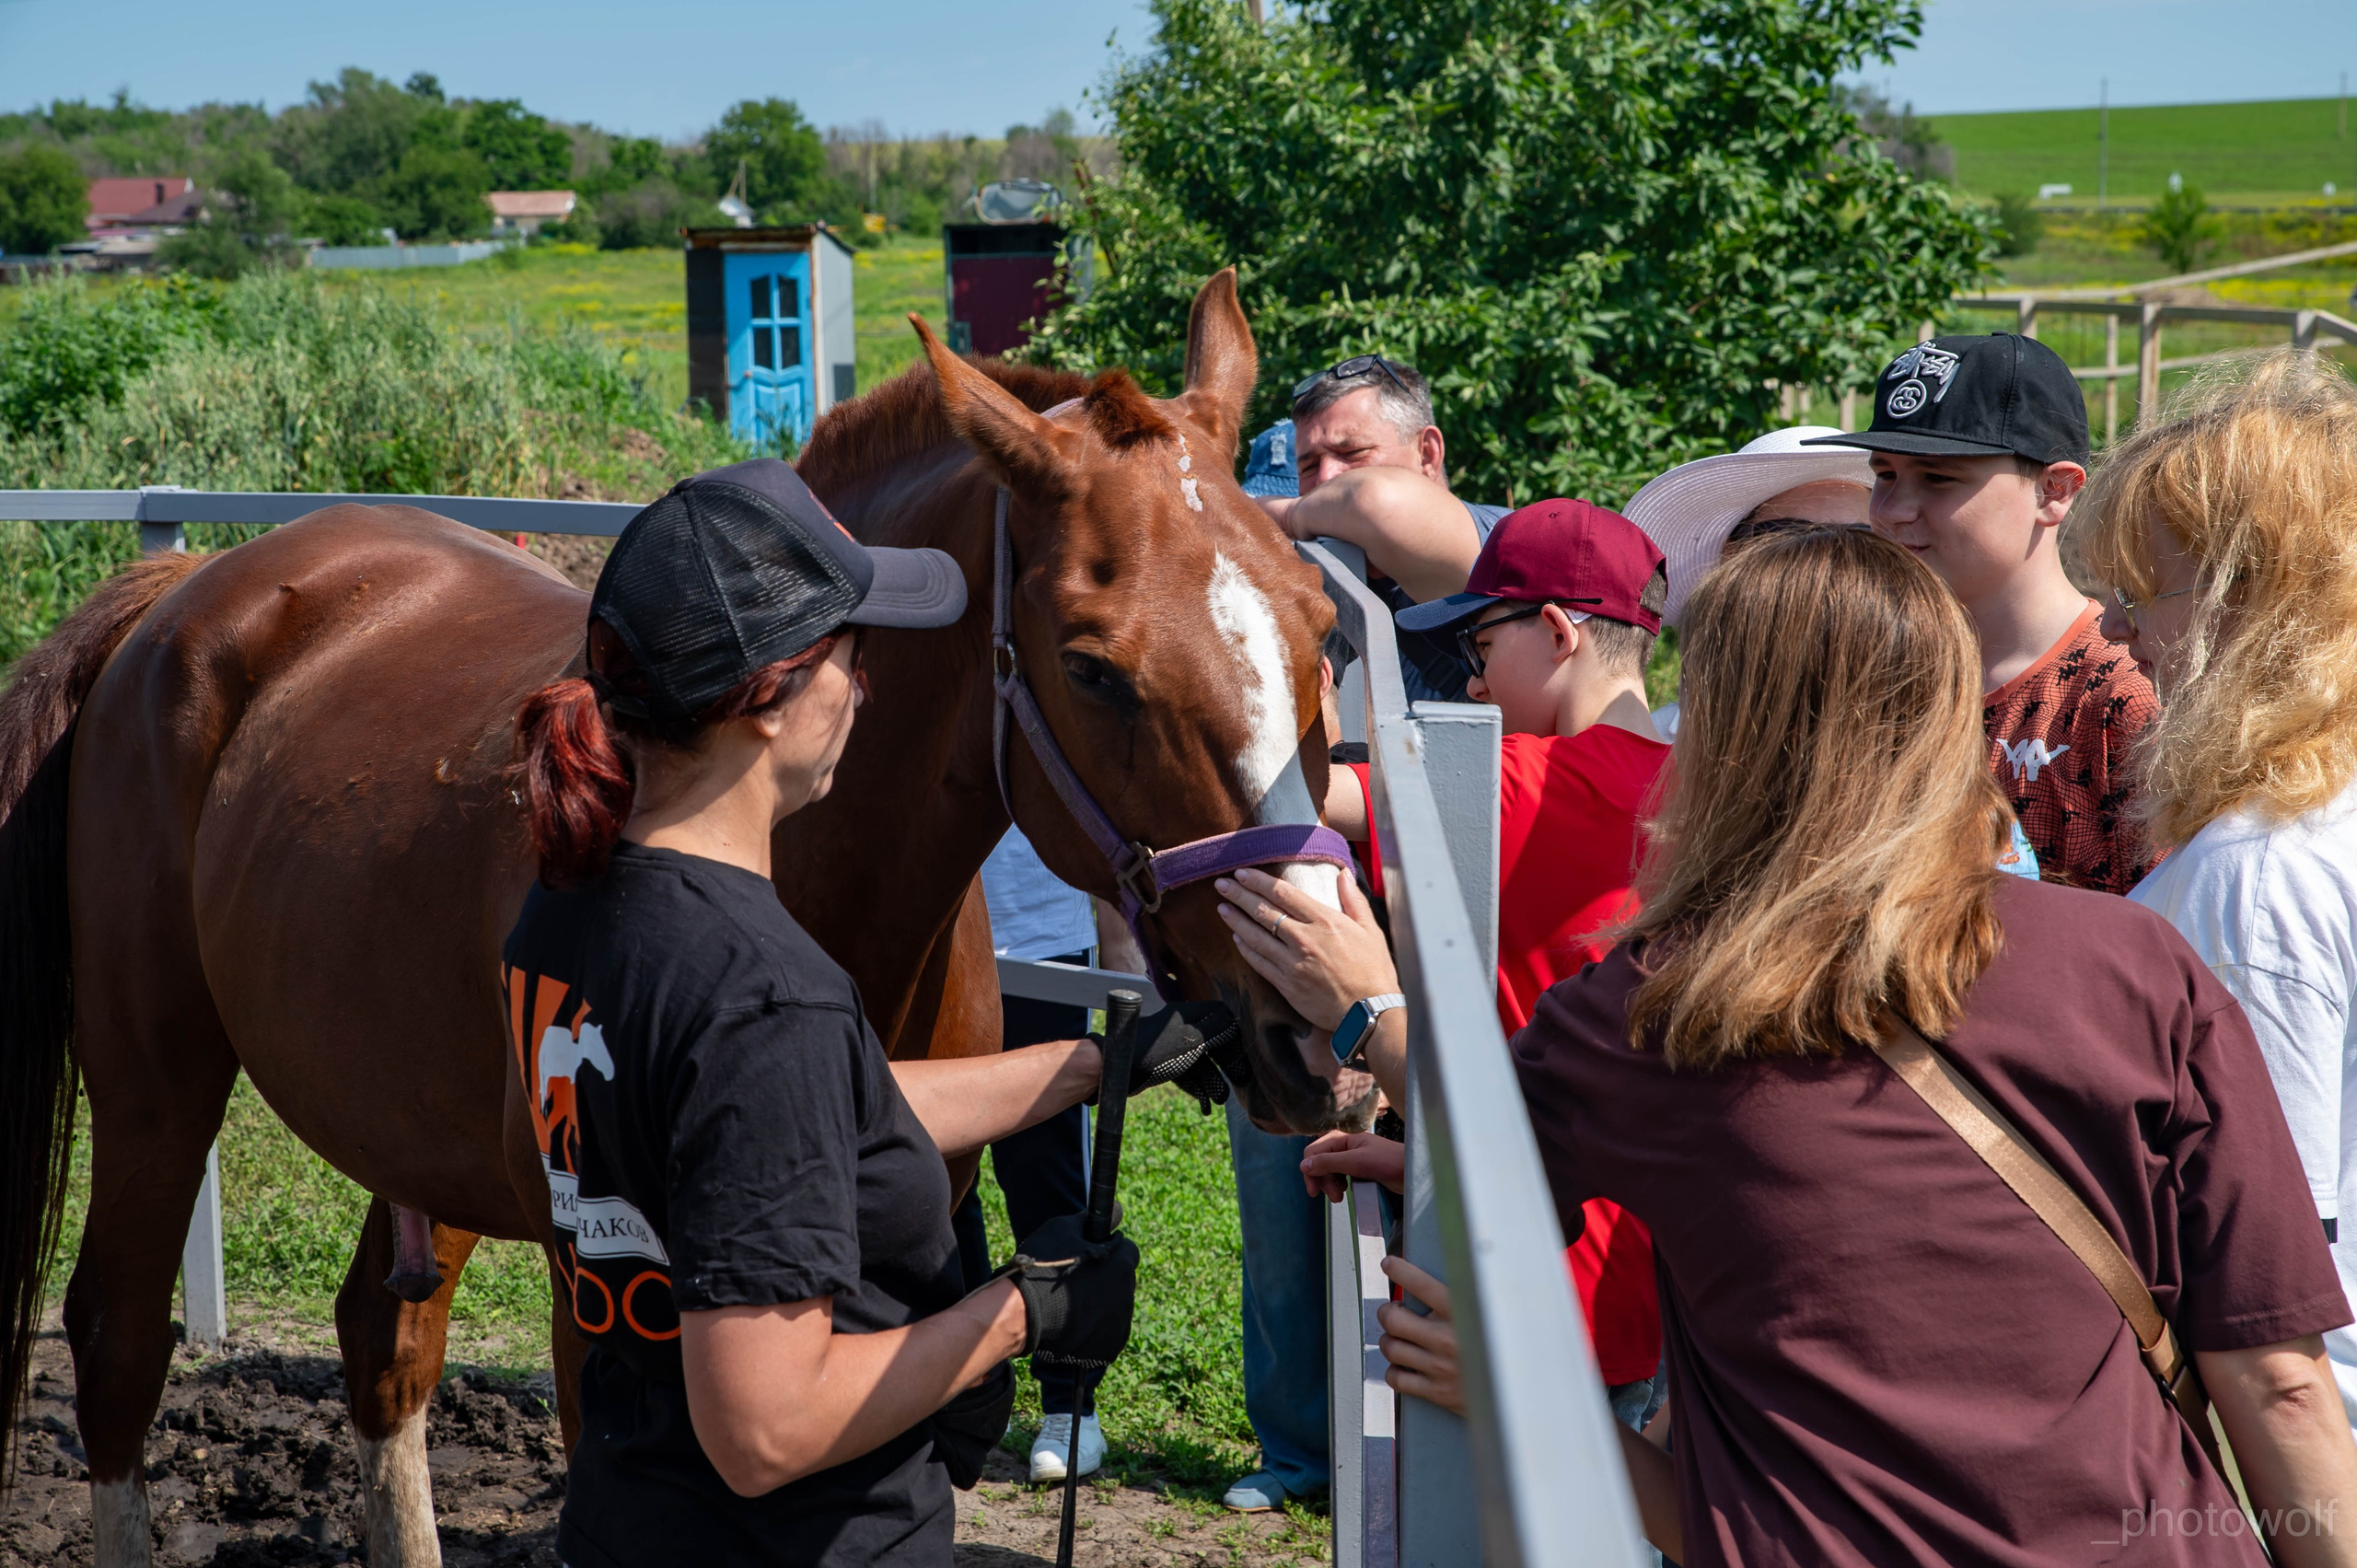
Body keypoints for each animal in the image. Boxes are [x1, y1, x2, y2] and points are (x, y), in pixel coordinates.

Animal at [0, 269, 1374, 1568]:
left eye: (1319, 625)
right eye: (1093, 666)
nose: (1317, 1017)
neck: (805, 881)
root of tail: (191, 588)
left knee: (384, 1338)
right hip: (157, 1082)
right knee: (119, 1337)